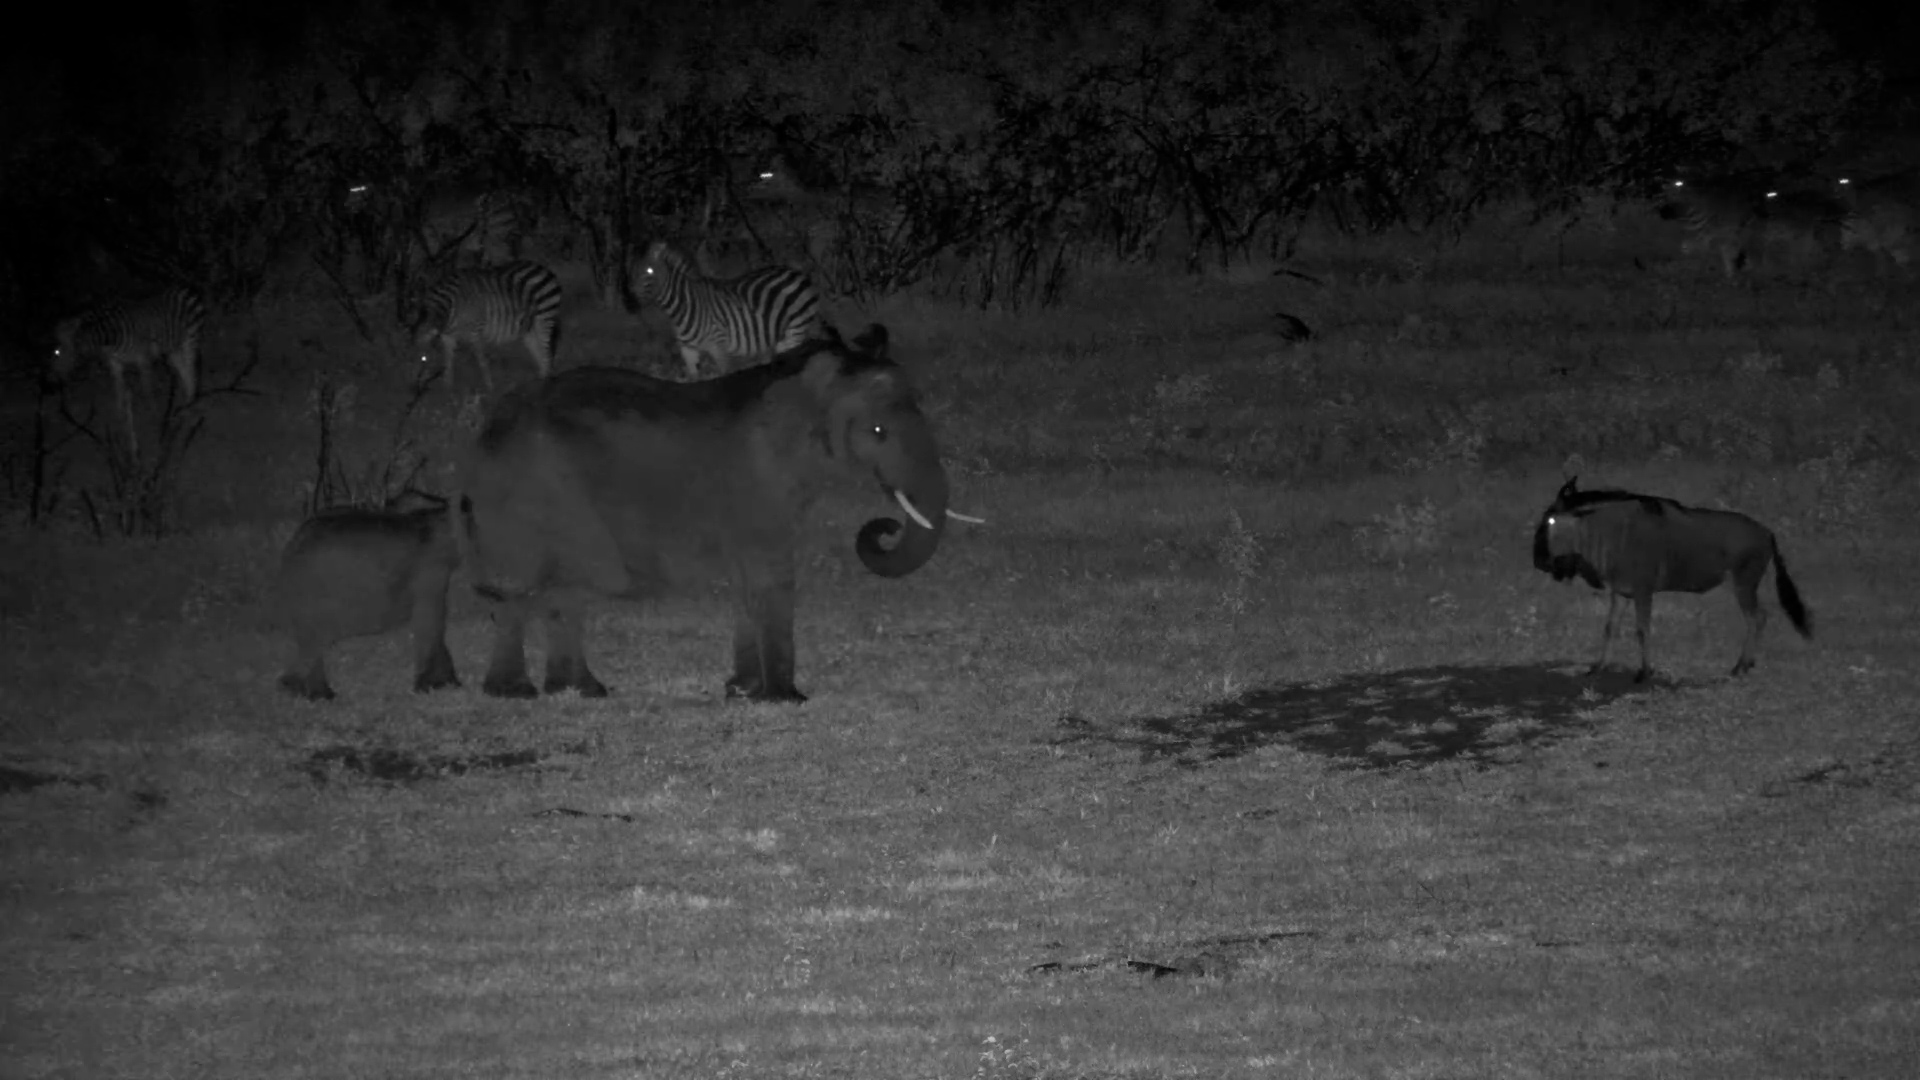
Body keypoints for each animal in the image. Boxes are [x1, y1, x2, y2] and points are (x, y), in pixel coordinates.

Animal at [274, 494, 460, 701]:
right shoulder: (429, 570)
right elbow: (430, 622)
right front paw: (430, 687)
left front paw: (447, 684)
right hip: (311, 593)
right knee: (313, 641)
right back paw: (308, 691)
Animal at [454, 322, 951, 702]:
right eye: (879, 431)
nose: (883, 528)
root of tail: (484, 431)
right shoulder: (760, 482)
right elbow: (771, 576)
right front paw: (787, 699)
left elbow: (745, 583)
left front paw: (742, 690)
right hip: (528, 498)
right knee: (523, 590)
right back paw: (516, 692)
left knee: (561, 590)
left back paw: (581, 690)